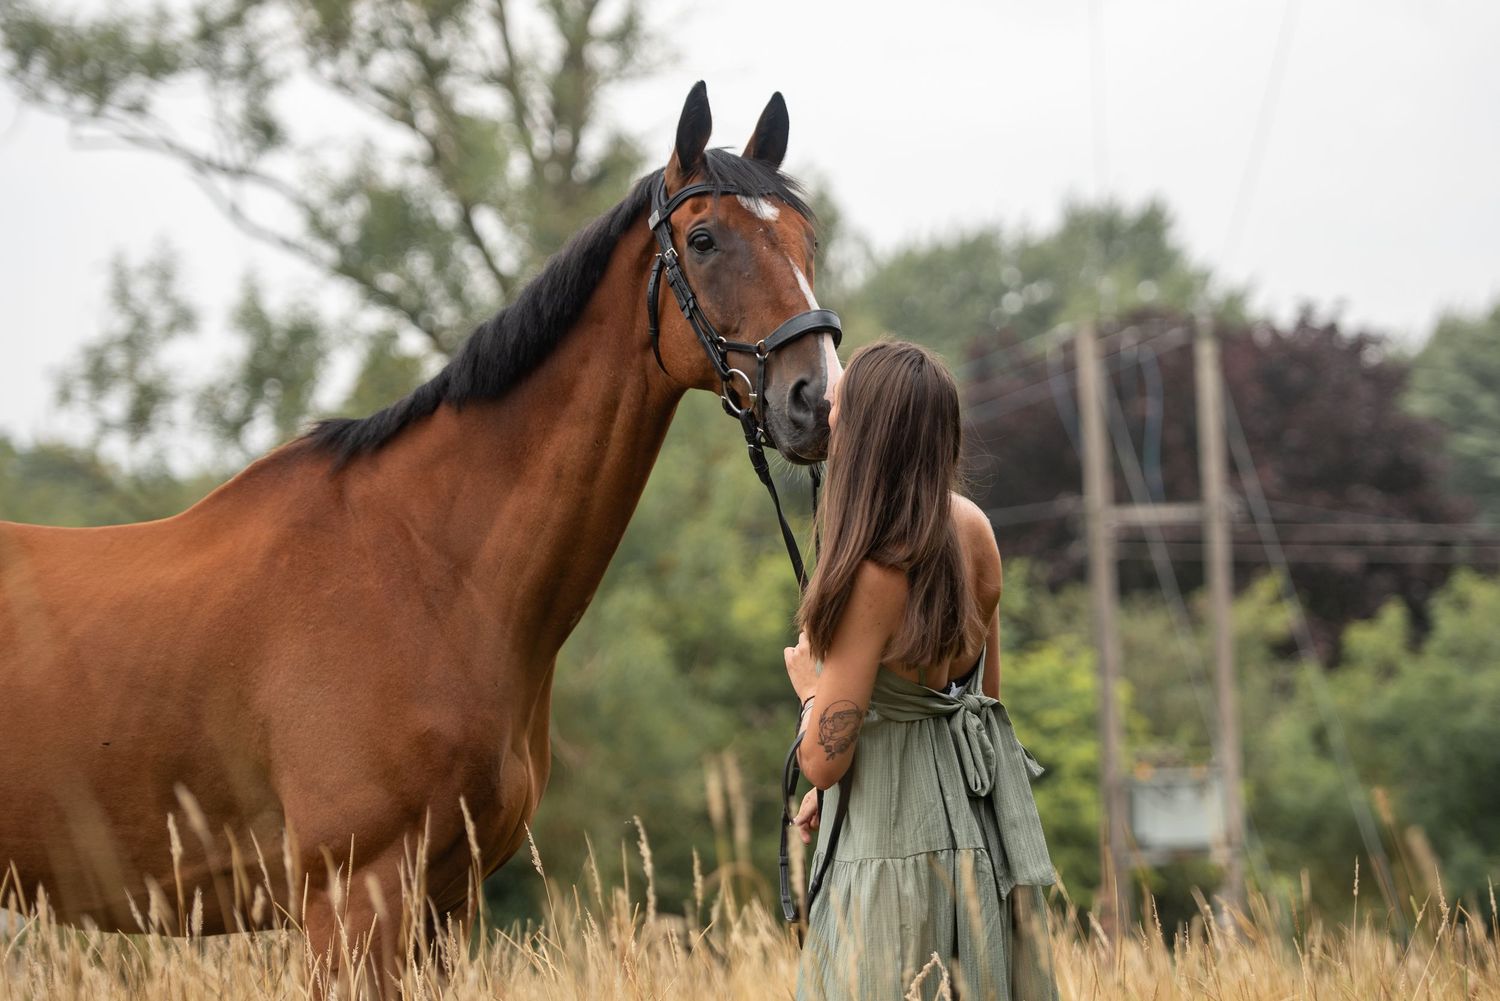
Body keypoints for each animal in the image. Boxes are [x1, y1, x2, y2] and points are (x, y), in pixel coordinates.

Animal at [0, 81, 841, 988]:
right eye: (704, 238)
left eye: (807, 240)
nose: (817, 399)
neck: (430, 571)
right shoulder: (351, 902)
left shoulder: (444, 905)